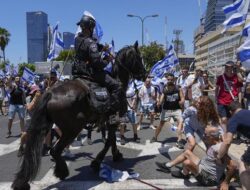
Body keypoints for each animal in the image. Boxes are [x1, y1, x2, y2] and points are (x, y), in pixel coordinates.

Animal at [11, 40, 146, 189]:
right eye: (139, 58)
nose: (145, 75)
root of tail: (50, 93)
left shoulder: (108, 121)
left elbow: (111, 140)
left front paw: (116, 155)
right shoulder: (113, 120)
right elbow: (109, 141)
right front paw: (97, 162)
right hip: (73, 129)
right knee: (55, 150)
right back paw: (62, 171)